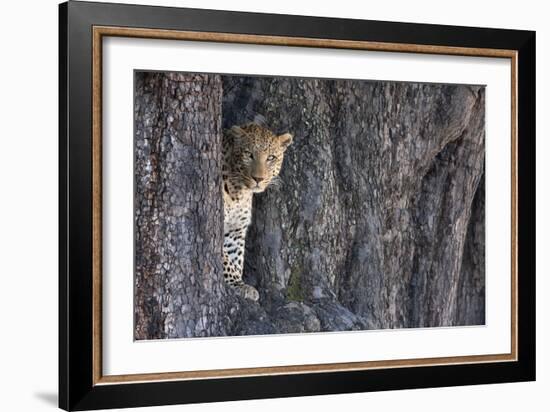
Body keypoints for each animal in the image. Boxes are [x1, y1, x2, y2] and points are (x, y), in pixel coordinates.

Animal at [223, 124, 296, 300]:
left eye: (271, 158)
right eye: (249, 154)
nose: (258, 179)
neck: (239, 192)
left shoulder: (235, 229)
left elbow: (236, 258)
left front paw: (239, 284)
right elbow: (225, 259)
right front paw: (237, 283)